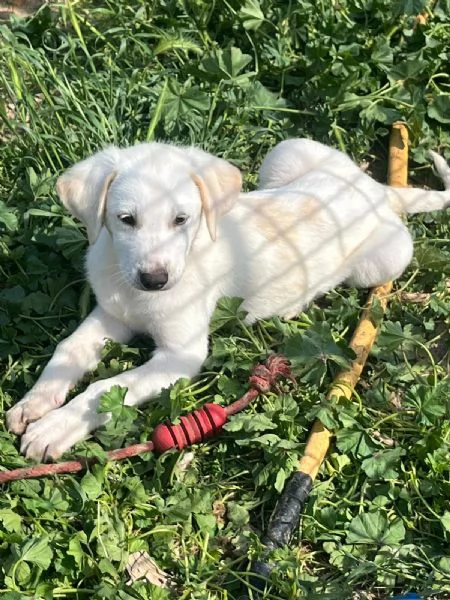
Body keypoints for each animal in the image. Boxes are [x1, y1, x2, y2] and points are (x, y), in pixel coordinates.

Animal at [7, 139, 450, 460]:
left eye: (181, 220)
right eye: (126, 220)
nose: (154, 280)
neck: (135, 293)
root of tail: (377, 189)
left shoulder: (179, 356)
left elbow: (106, 388)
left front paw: (54, 428)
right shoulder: (113, 314)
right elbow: (68, 349)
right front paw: (35, 402)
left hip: (385, 260)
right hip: (287, 152)